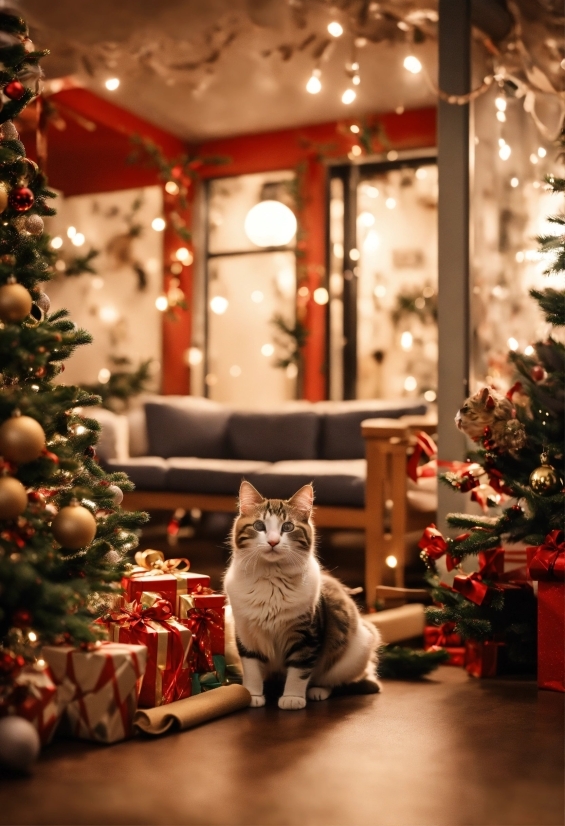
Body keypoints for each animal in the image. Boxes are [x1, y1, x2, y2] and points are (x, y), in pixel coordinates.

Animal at [224, 482, 378, 708]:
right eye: (259, 526)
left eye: (287, 527)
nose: (273, 542)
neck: (271, 580)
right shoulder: (246, 633)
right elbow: (251, 669)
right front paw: (252, 695)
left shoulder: (306, 634)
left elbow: (299, 670)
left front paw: (292, 698)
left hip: (355, 649)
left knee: (332, 680)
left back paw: (317, 691)